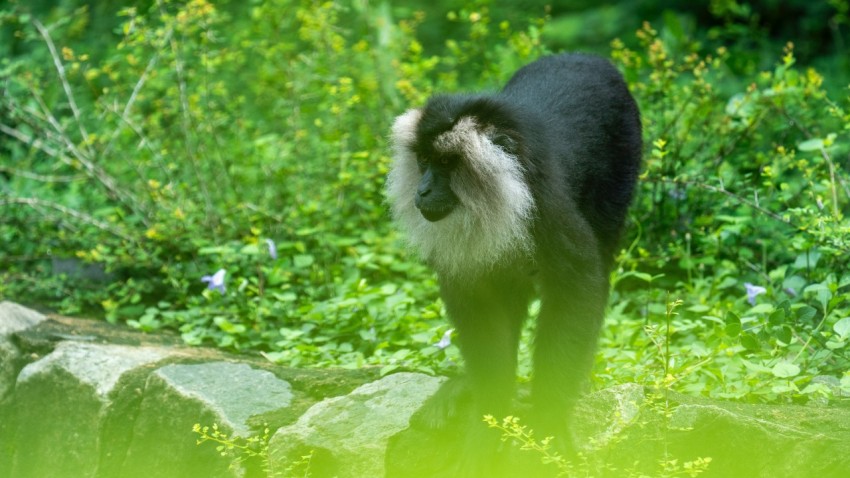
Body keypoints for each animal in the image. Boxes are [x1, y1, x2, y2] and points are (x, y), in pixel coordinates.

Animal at [384, 53, 636, 474]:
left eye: (447, 163)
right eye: (423, 161)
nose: (423, 190)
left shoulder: (545, 208)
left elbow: (577, 286)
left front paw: (549, 422)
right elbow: (479, 303)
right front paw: (489, 420)